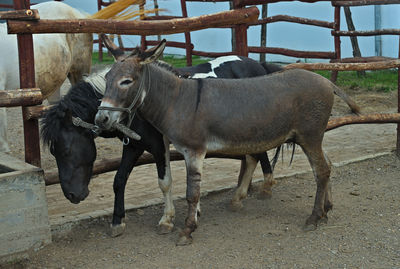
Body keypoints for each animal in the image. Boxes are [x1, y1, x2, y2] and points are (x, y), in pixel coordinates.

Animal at [42, 54, 282, 234]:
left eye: (66, 150)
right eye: (53, 152)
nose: (72, 196)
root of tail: (259, 65)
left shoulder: (158, 147)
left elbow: (165, 182)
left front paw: (167, 220)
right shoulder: (133, 145)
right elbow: (119, 180)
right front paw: (118, 221)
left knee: (257, 155)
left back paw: (263, 188)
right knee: (253, 157)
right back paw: (242, 195)